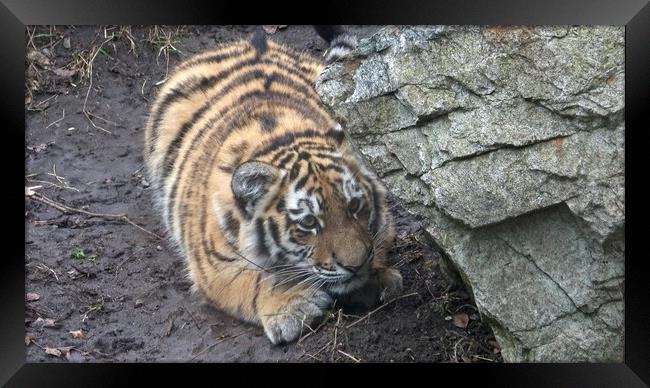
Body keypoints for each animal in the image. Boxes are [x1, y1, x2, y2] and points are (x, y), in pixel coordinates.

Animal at [144, 25, 402, 344]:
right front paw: (293, 307)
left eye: (355, 206)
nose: (355, 266)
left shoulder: (384, 224)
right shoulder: (212, 266)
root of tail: (251, 42)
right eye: (308, 223)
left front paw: (379, 279)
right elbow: (254, 280)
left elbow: (377, 243)